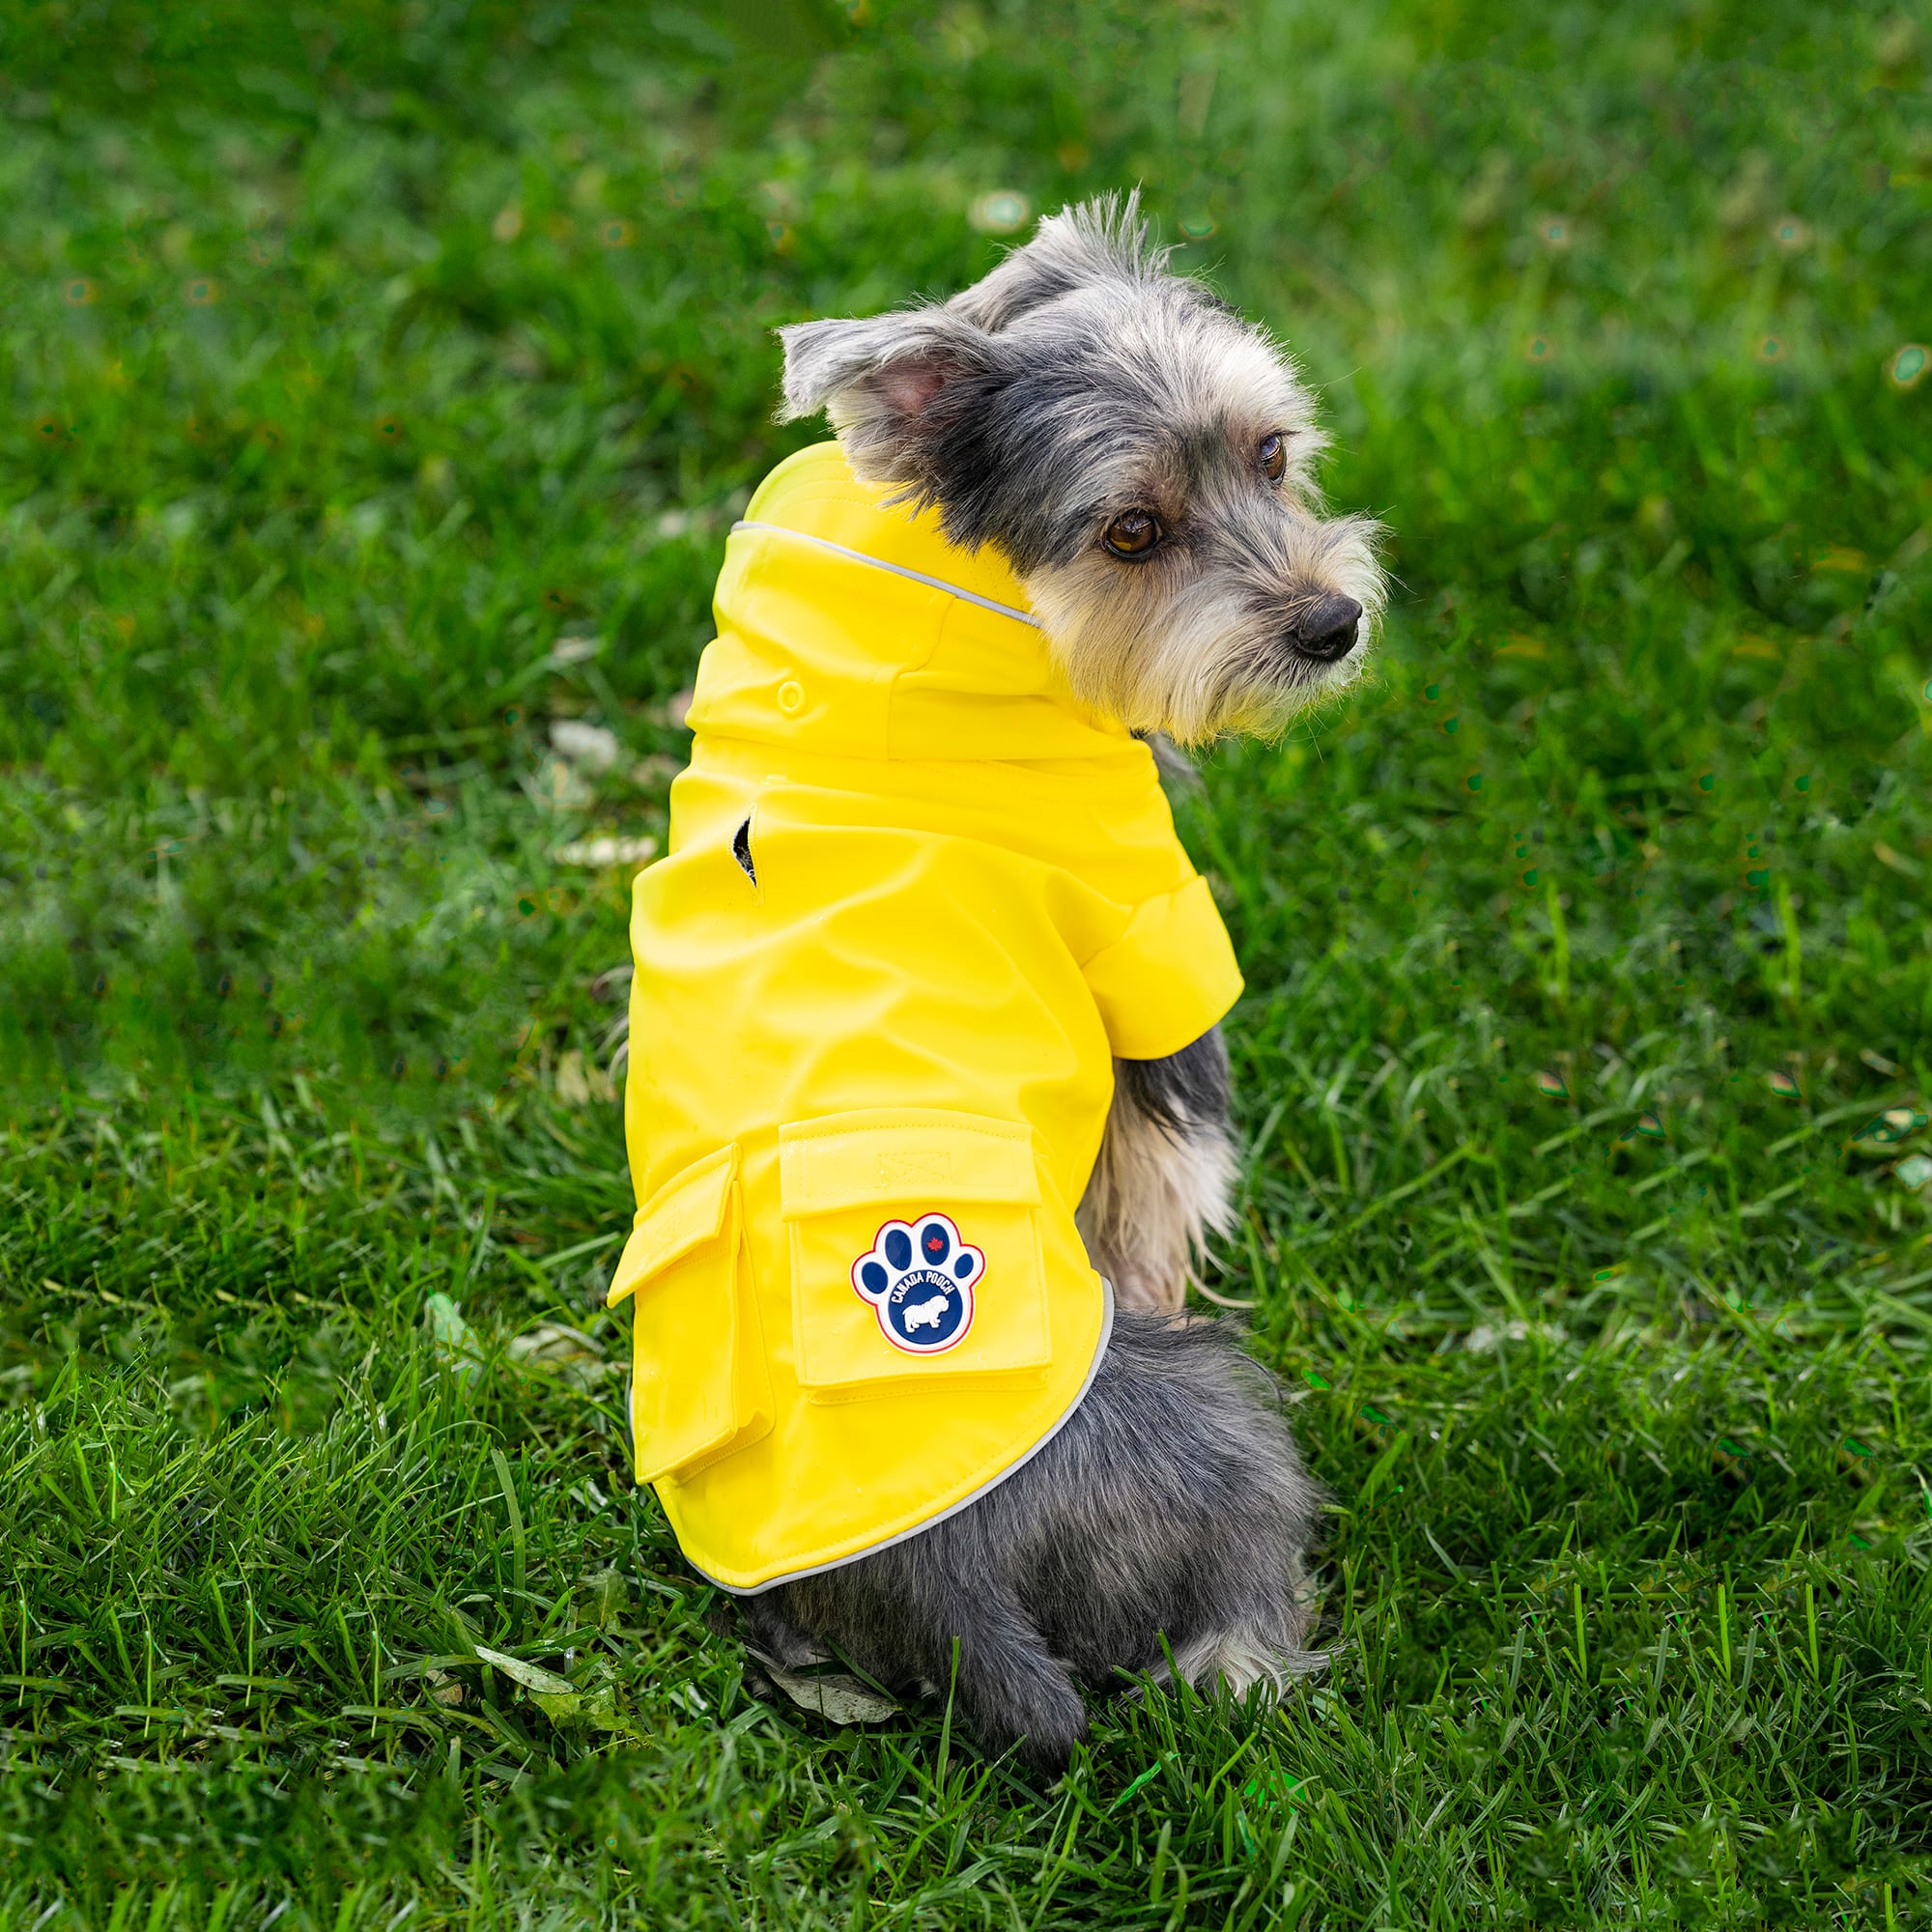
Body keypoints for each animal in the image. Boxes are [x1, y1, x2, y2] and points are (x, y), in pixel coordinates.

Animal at [611, 192, 1383, 1770]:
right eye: (1132, 531)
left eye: (1271, 451)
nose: (1329, 625)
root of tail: (951, 1588)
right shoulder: (1156, 977)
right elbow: (1160, 1193)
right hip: (1221, 1422)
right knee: (1226, 1636)